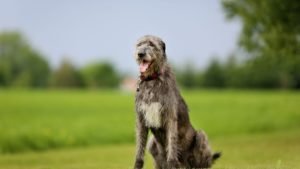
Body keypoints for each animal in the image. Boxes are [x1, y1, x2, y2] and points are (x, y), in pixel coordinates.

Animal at [134, 34, 220, 169]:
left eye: (151, 44)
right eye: (139, 44)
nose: (140, 54)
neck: (152, 79)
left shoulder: (170, 117)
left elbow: (171, 146)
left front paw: (172, 162)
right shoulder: (141, 119)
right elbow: (139, 151)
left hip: (200, 137)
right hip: (152, 143)